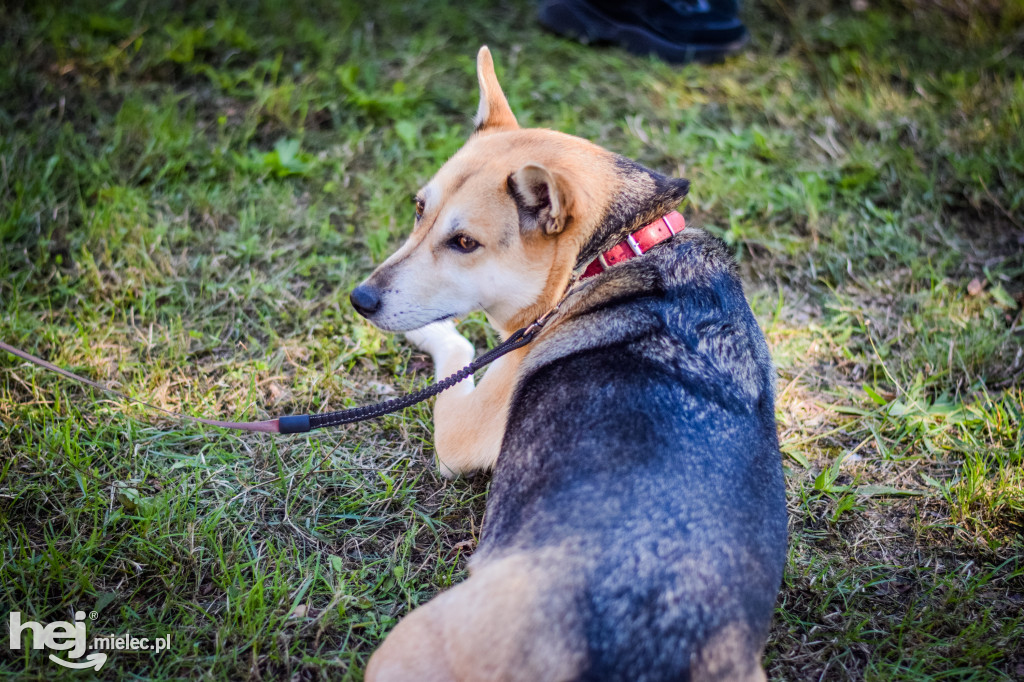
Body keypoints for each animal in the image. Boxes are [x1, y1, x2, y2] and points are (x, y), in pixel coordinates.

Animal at [348, 45, 786, 675]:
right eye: (418, 210)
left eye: (465, 244)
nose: (361, 299)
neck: (615, 250)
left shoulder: (463, 430)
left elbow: (457, 345)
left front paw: (429, 329)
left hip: (413, 638)